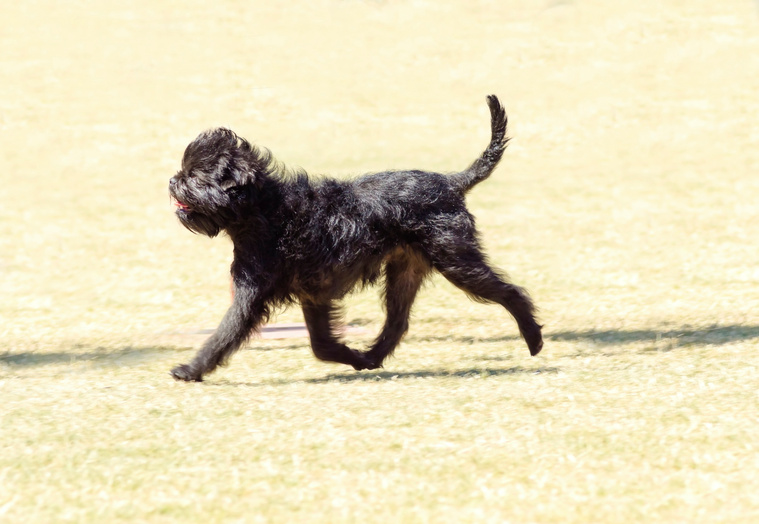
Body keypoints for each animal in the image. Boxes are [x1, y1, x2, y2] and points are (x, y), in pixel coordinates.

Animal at [169, 95, 544, 380]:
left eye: (194, 176)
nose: (172, 181)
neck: (265, 210)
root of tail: (452, 183)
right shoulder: (314, 293)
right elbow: (321, 344)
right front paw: (352, 357)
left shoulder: (254, 293)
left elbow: (227, 331)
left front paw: (190, 370)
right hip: (405, 271)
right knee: (398, 321)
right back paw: (372, 357)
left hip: (455, 258)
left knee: (510, 292)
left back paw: (534, 338)